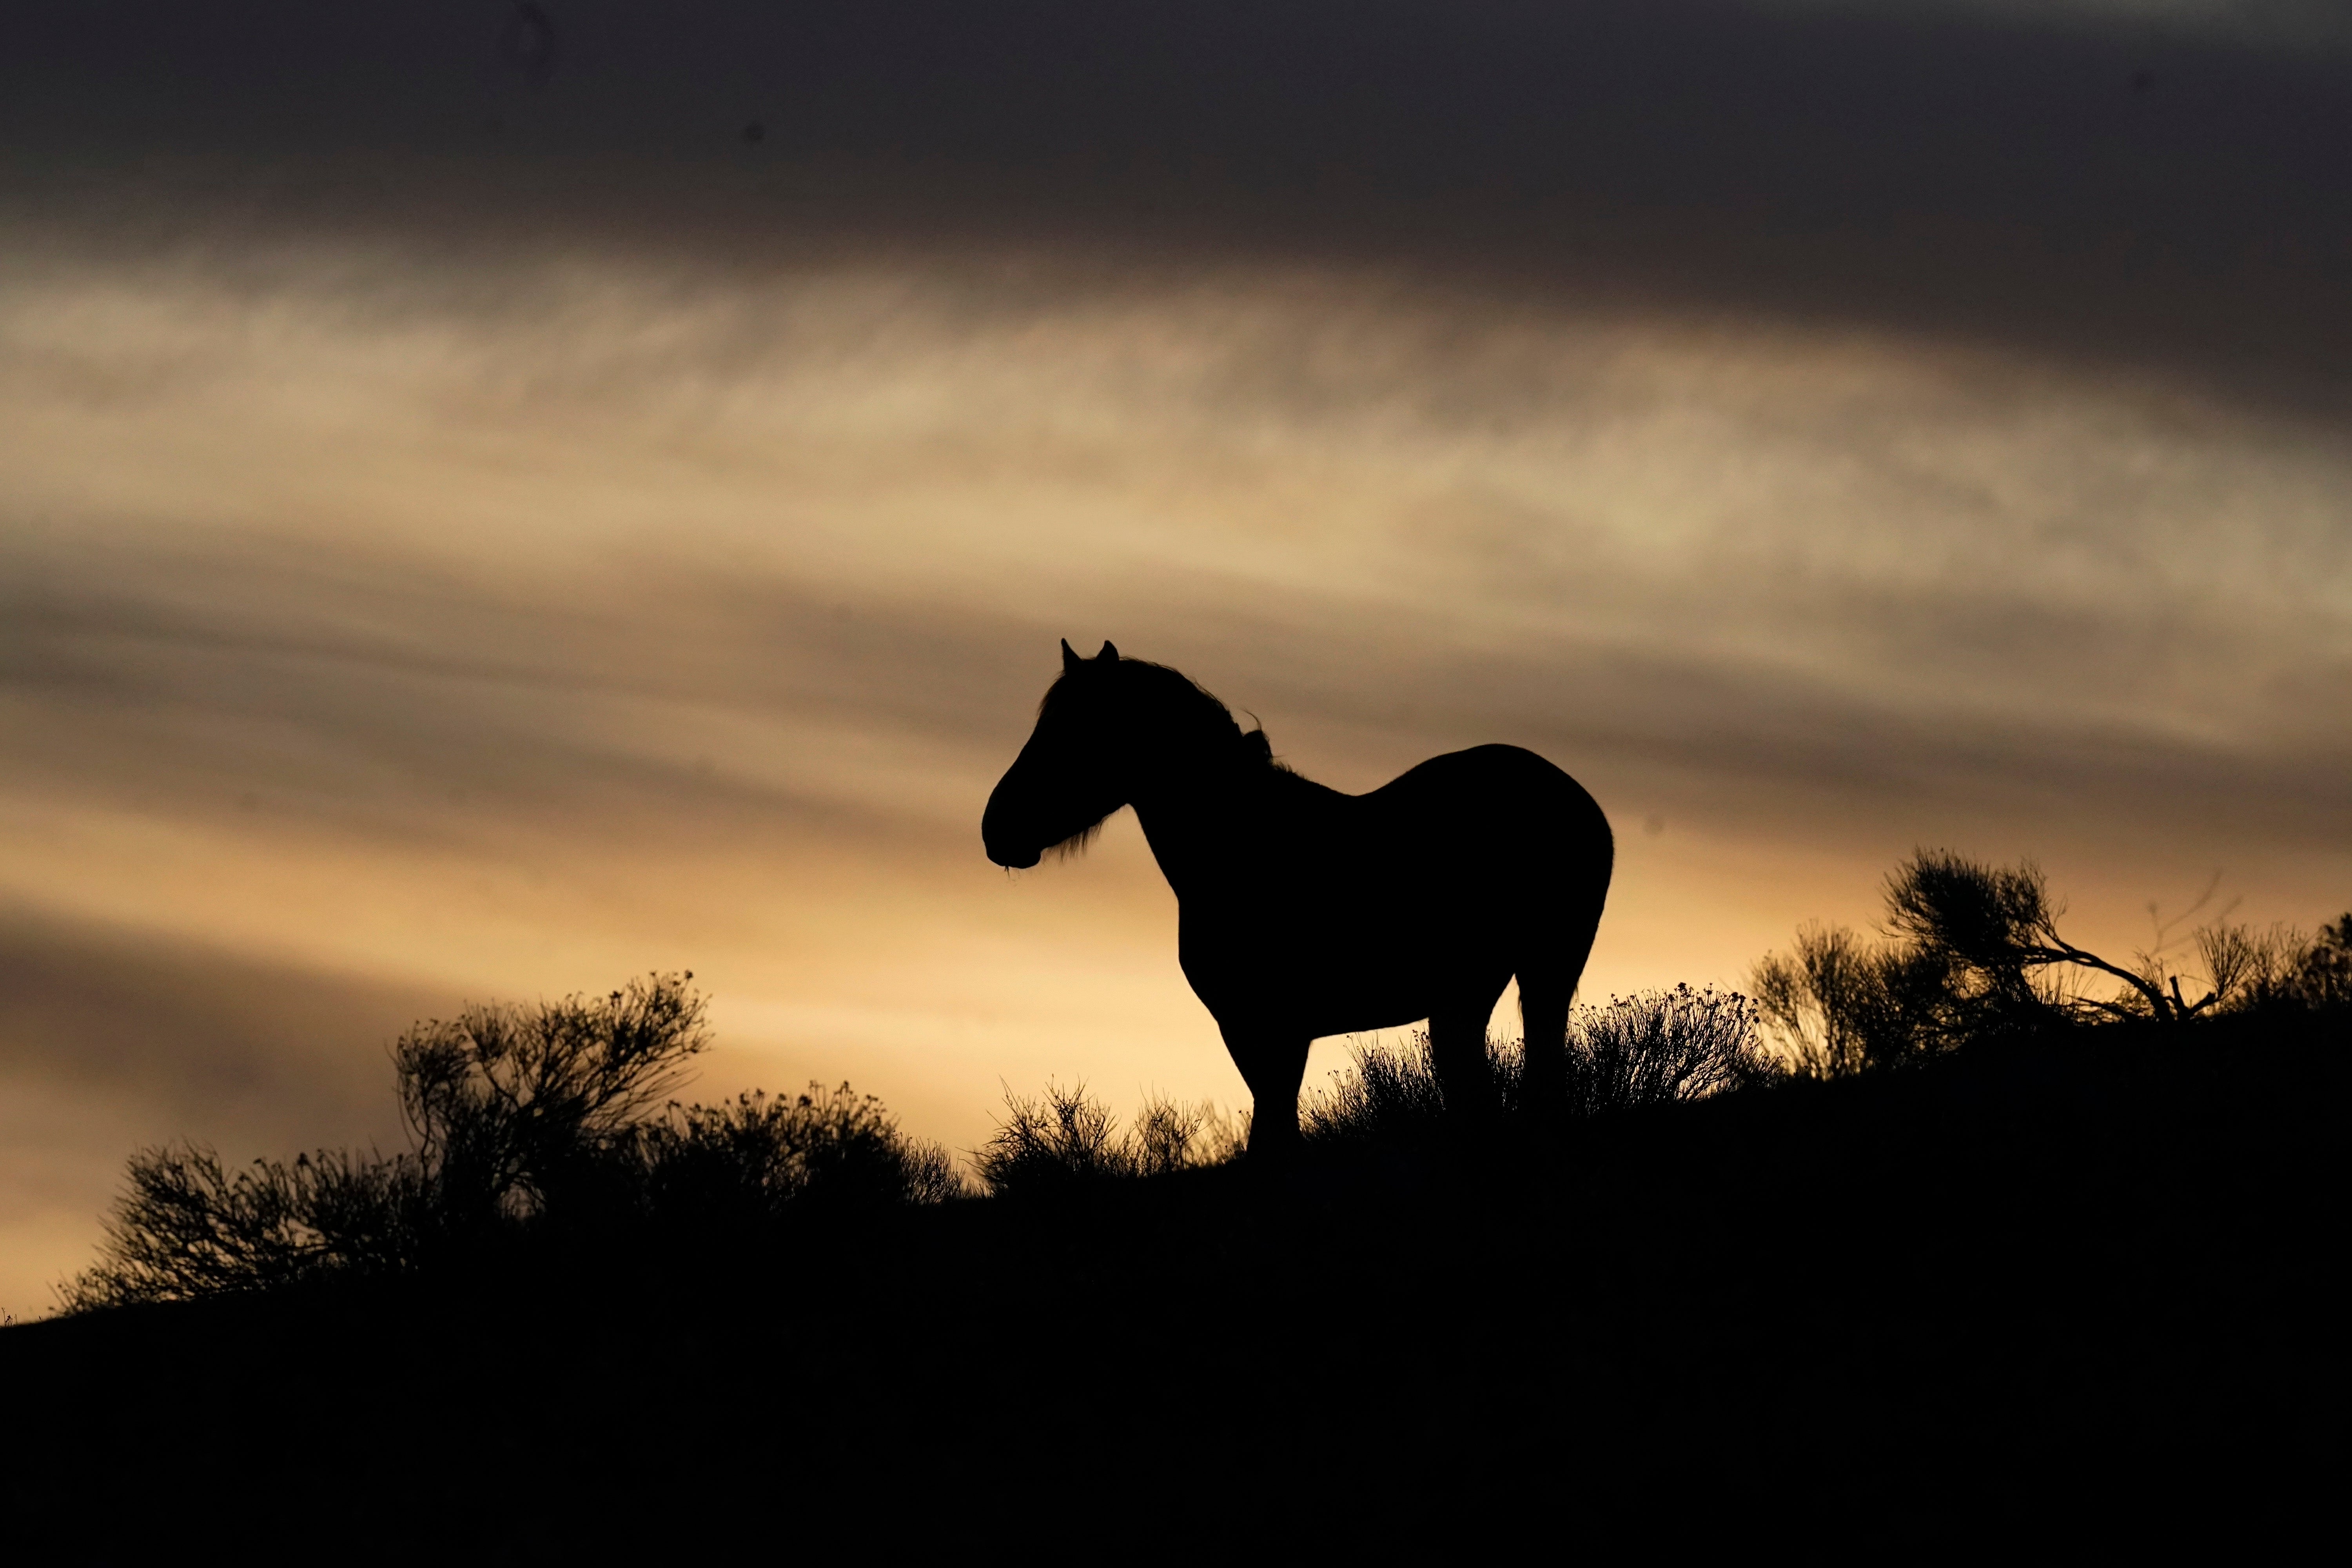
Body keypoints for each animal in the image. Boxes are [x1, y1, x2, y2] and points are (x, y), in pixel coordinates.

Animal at [978, 630, 1618, 1161]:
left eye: (1076, 732)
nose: (996, 829)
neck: (1249, 847)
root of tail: (1575, 797)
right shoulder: (1256, 1032)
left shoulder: (1271, 1030)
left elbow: (1275, 1139)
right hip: (1476, 991)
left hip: (1538, 973)